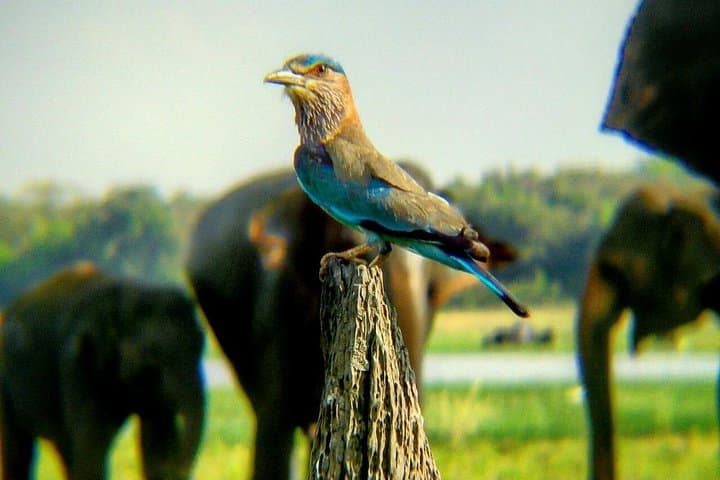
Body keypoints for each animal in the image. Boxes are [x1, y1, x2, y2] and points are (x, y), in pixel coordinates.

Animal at [0, 262, 206, 480]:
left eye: (200, 345)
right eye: (152, 354)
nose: (177, 468)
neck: (129, 291)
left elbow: (157, 437)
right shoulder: (79, 360)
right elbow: (92, 442)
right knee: (17, 449)